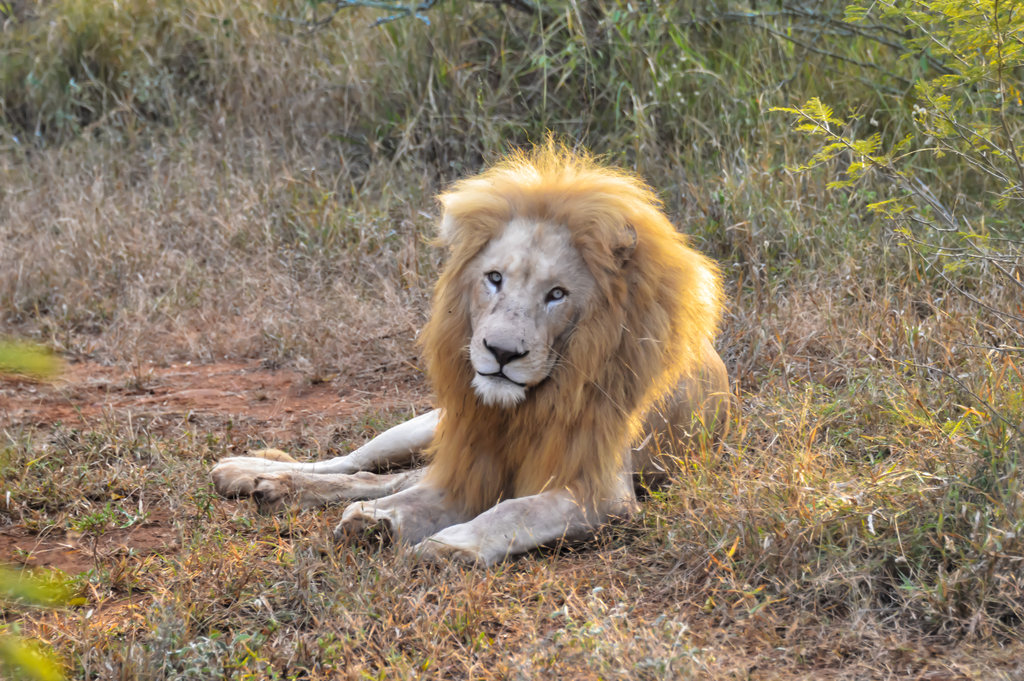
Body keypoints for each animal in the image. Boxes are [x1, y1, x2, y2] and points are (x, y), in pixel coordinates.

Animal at [211, 142, 729, 565]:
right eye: (494, 278)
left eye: (557, 295)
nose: (501, 352)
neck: (523, 407)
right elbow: (420, 494)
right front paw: (381, 523)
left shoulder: (600, 492)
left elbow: (512, 509)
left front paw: (443, 543)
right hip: (427, 424)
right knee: (354, 461)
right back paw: (250, 473)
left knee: (390, 476)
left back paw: (279, 490)